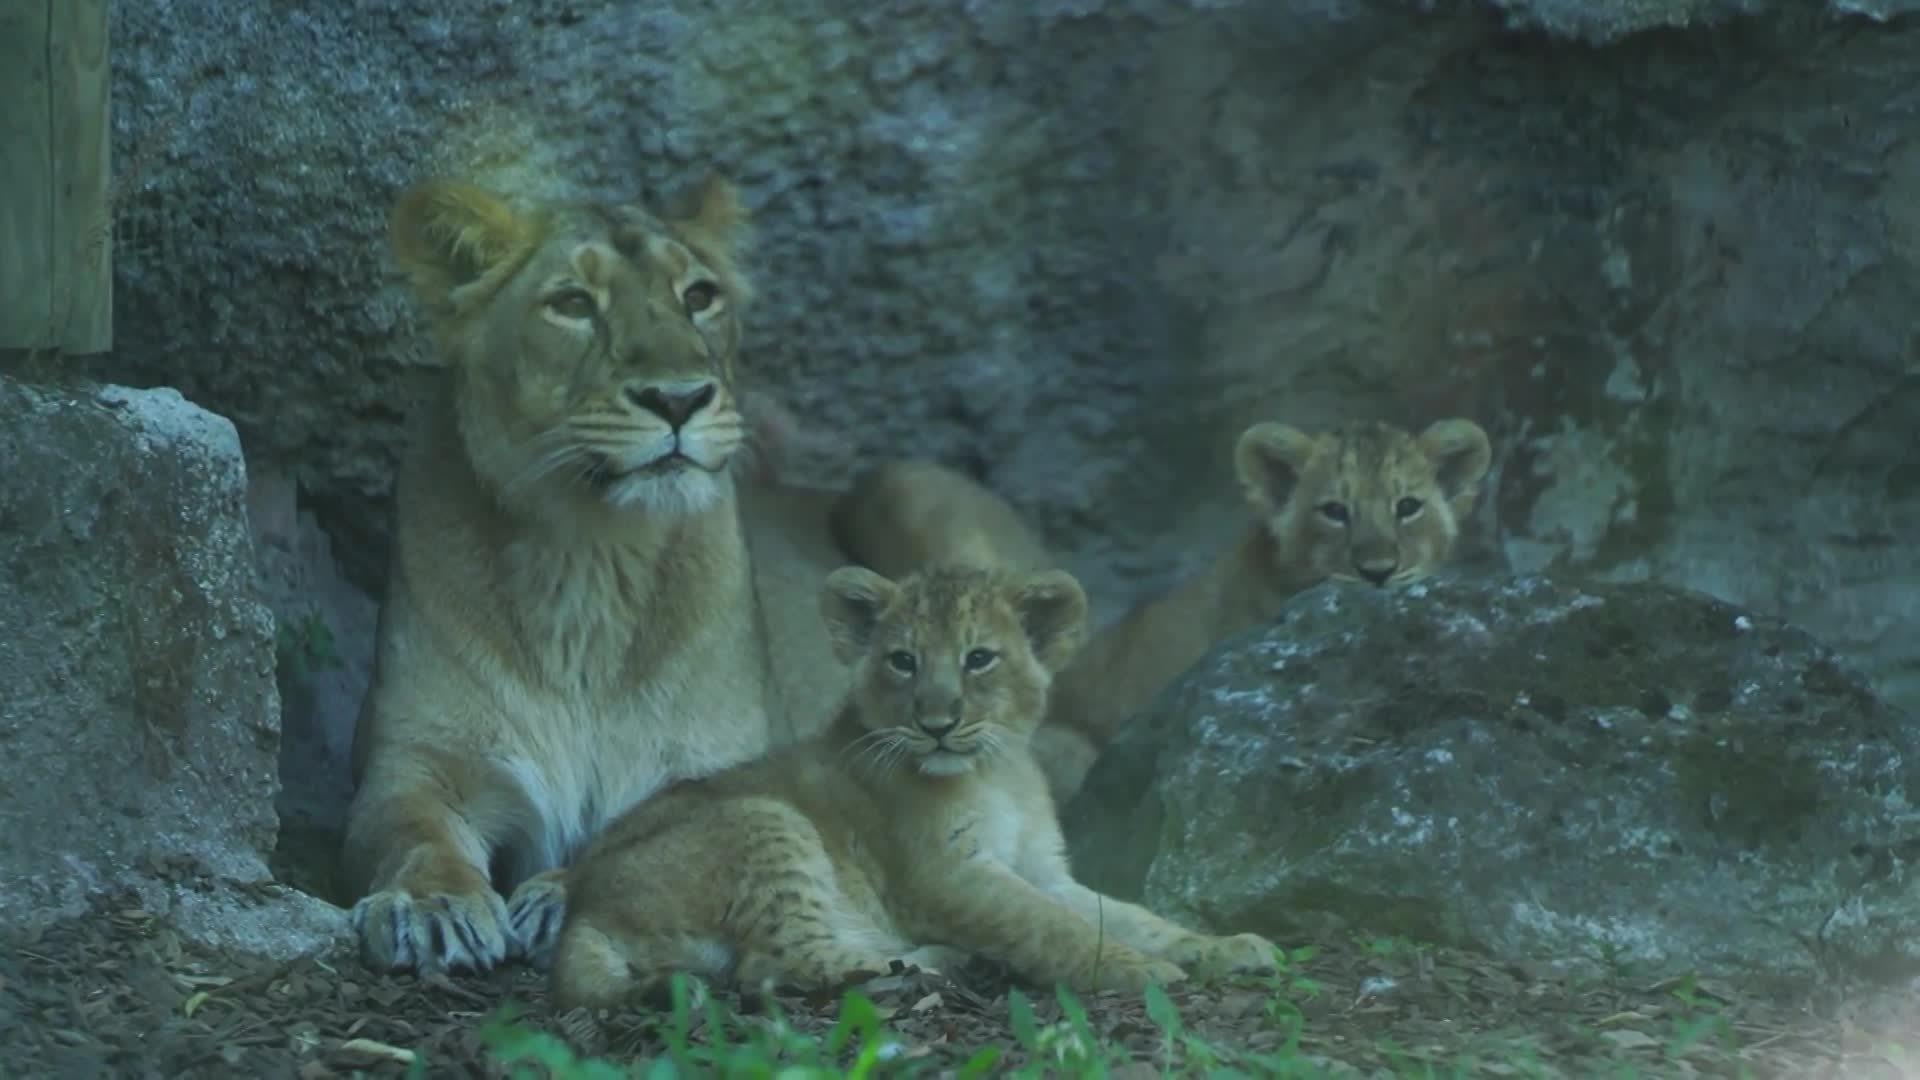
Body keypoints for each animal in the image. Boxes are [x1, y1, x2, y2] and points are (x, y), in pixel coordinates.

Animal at [344, 173, 851, 975]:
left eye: (699, 296)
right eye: (574, 304)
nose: (679, 399)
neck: (589, 554)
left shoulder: (726, 772)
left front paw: (560, 898)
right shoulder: (414, 759)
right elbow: (409, 830)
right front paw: (431, 906)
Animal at [549, 564, 1279, 1009]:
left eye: (978, 658)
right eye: (903, 662)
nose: (936, 725)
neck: (996, 769)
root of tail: (580, 906)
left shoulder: (1042, 869)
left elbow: (1123, 914)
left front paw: (1226, 948)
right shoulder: (943, 874)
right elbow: (1051, 926)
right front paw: (1137, 972)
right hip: (762, 818)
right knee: (779, 966)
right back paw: (931, 965)